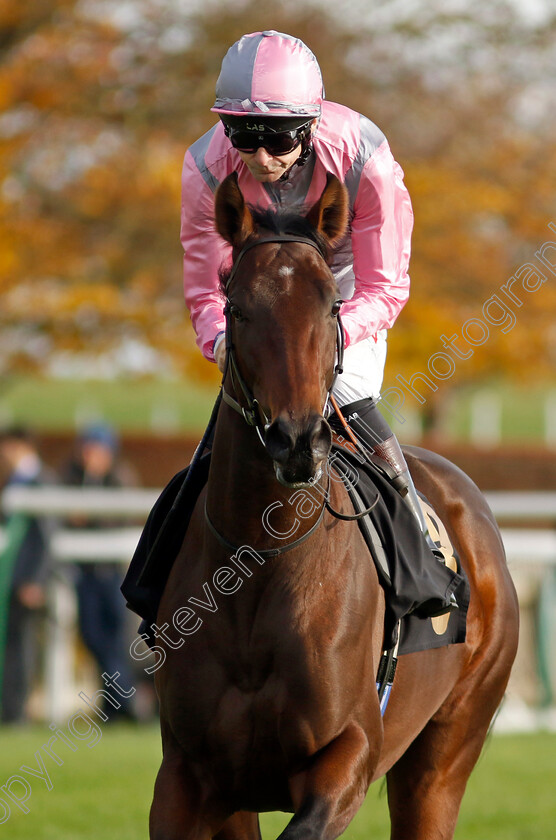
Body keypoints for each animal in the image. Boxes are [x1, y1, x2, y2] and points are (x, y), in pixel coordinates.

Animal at [150, 172, 520, 840]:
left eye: (331, 305)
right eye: (237, 308)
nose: (297, 442)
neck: (259, 558)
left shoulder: (347, 754)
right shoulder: (194, 778)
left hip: (447, 752)